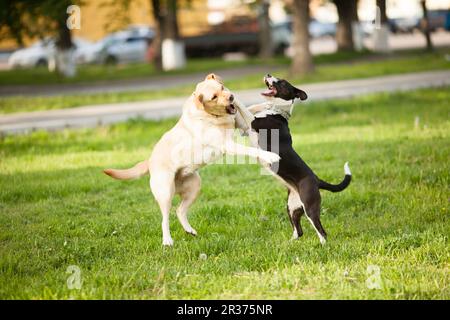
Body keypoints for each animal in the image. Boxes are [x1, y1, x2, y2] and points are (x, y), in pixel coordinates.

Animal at [103, 74, 280, 246]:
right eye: (214, 97)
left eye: (222, 87)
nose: (231, 97)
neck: (212, 116)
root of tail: (150, 159)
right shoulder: (227, 145)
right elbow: (252, 150)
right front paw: (270, 155)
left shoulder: (237, 121)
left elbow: (251, 109)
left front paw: (265, 105)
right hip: (165, 192)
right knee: (165, 218)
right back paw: (167, 241)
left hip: (194, 186)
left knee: (179, 210)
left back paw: (189, 230)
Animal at [243, 75, 352, 244]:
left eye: (281, 82)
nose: (268, 75)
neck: (277, 111)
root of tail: (317, 180)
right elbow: (252, 107)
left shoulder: (253, 123)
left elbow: (243, 110)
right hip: (291, 207)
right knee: (298, 230)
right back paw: (289, 244)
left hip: (309, 207)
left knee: (321, 231)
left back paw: (323, 245)